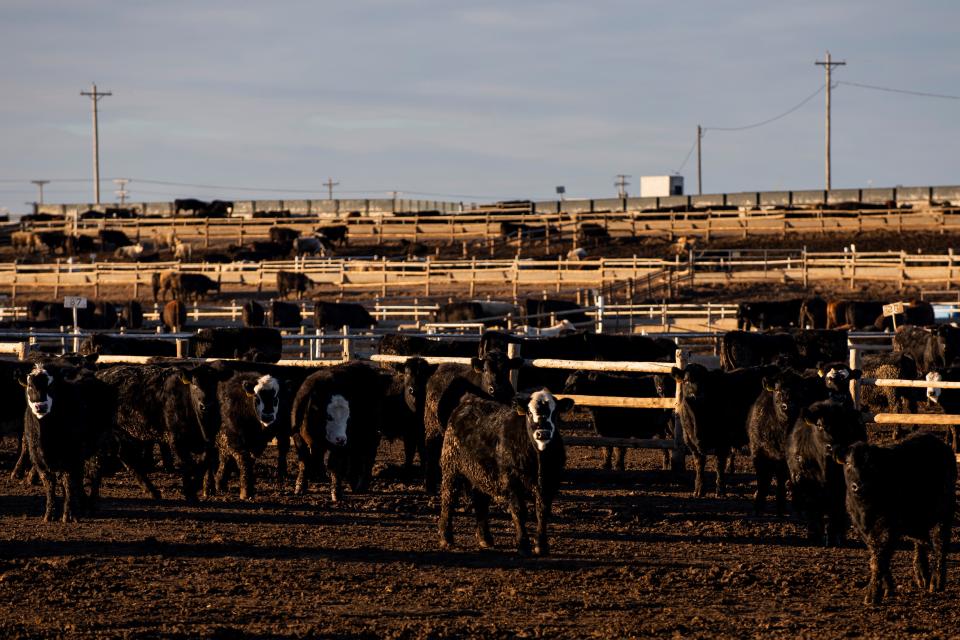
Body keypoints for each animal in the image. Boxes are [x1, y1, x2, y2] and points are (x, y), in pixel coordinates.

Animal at [440, 388, 572, 556]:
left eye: (554, 413)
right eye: (529, 412)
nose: (542, 433)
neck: (539, 460)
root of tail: (468, 400)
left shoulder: (549, 485)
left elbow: (542, 511)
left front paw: (541, 546)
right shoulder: (512, 483)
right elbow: (519, 511)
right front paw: (523, 545)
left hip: (479, 473)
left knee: (480, 502)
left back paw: (485, 538)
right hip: (451, 469)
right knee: (448, 500)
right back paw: (446, 538)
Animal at [672, 362, 776, 498]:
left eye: (705, 382)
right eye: (686, 380)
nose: (695, 395)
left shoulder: (723, 442)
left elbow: (719, 466)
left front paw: (720, 491)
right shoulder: (690, 441)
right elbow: (699, 465)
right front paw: (699, 490)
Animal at [788, 400, 872, 544]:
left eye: (842, 426)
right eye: (819, 425)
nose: (831, 447)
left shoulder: (839, 487)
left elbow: (835, 509)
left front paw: (834, 535)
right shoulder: (805, 482)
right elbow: (813, 510)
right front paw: (814, 535)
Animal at [844, 432, 956, 604]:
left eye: (871, 466)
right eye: (848, 463)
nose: (858, 486)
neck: (865, 509)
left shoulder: (888, 527)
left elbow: (879, 559)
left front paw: (872, 595)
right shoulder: (862, 528)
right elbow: (877, 555)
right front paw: (887, 587)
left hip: (944, 513)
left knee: (940, 544)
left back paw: (936, 581)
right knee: (920, 543)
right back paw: (922, 575)